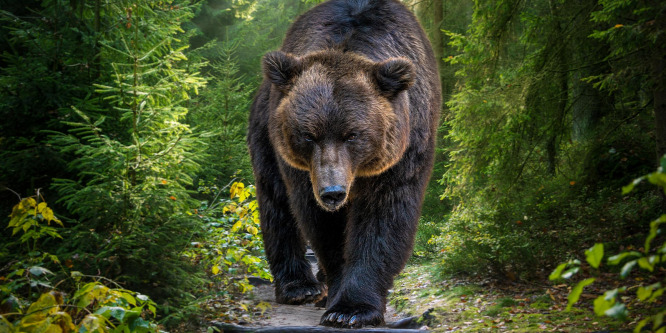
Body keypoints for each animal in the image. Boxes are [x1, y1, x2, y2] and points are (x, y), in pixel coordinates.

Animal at [246, 0, 438, 326]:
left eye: (353, 134)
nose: (333, 192)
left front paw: (352, 309)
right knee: (276, 202)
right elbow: (322, 225)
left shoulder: (402, 153)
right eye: (308, 135)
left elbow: (383, 218)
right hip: (266, 132)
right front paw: (337, 297)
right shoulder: (304, 169)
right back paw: (300, 287)